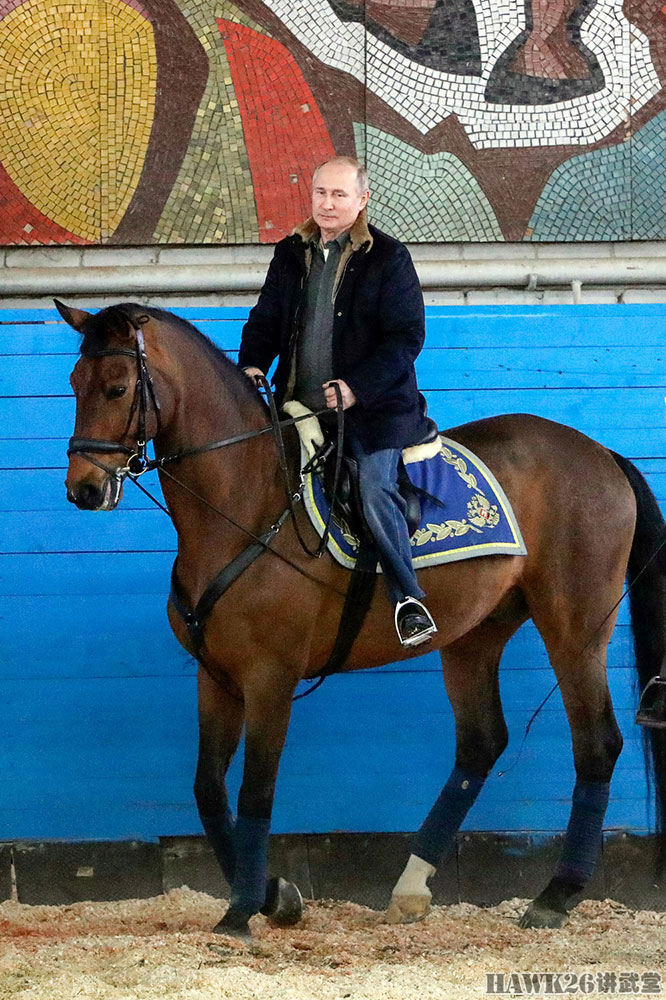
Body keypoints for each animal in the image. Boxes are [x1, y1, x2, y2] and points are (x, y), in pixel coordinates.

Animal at [57, 300, 664, 940]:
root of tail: (599, 453)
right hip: (474, 634)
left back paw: (555, 894)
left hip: (575, 629)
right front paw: (274, 896)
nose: (84, 489)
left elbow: (254, 793)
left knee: (596, 743)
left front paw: (244, 908)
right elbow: (207, 791)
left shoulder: (270, 678)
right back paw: (412, 888)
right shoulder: (216, 676)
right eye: (74, 383)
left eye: (118, 387)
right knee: (481, 743)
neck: (247, 500)